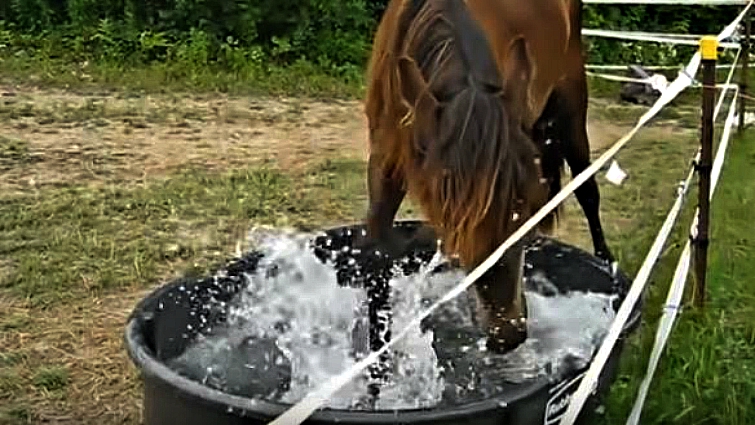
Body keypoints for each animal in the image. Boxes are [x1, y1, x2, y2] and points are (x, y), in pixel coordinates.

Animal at [358, 0, 614, 353]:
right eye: (453, 220)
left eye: (524, 210)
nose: (507, 335)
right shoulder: (386, 159)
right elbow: (376, 253)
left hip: (570, 100)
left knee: (587, 190)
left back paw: (608, 266)